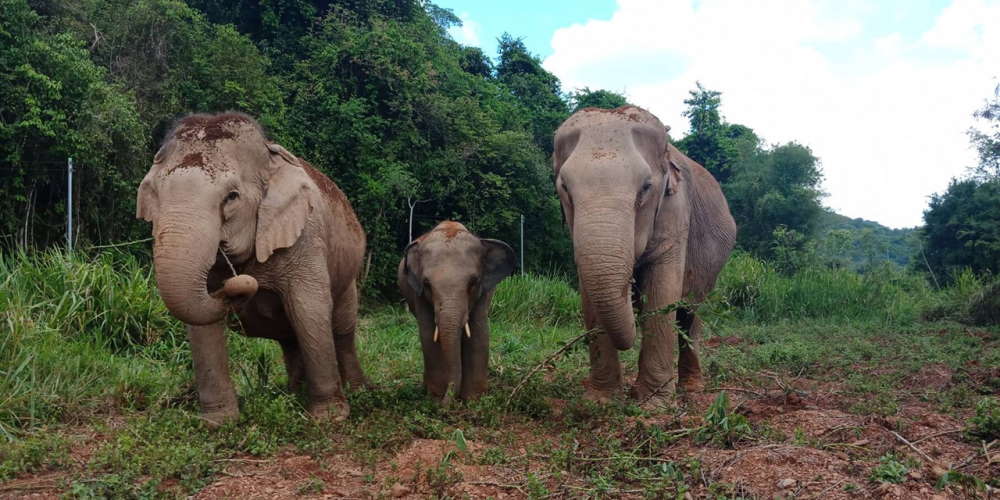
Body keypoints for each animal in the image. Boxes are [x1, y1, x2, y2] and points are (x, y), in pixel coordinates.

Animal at [134, 111, 368, 424]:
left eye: (232, 197)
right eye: (155, 194)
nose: (238, 285)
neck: (269, 160)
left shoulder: (306, 235)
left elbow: (309, 308)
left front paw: (329, 418)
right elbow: (200, 323)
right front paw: (219, 422)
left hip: (348, 275)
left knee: (341, 328)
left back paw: (358, 391)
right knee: (290, 339)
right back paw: (292, 395)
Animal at [398, 222, 516, 402]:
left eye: (473, 282)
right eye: (427, 284)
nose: (448, 402)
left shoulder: (485, 292)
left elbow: (478, 331)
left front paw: (473, 399)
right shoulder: (417, 293)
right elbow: (428, 333)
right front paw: (435, 398)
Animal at [552, 105, 740, 406]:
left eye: (646, 187)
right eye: (565, 188)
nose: (630, 289)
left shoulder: (676, 210)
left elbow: (662, 291)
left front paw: (652, 403)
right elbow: (590, 297)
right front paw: (602, 401)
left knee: (691, 313)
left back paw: (691, 389)